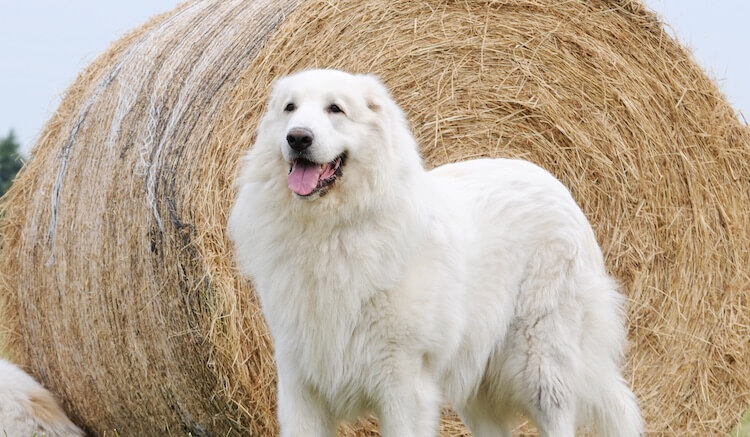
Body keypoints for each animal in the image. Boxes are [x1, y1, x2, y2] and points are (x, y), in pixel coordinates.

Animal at [228, 70, 640, 434]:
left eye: (335, 109)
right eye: (290, 108)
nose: (297, 138)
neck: (332, 232)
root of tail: (554, 183)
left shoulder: (402, 383)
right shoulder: (300, 386)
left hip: (539, 366)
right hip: (477, 385)